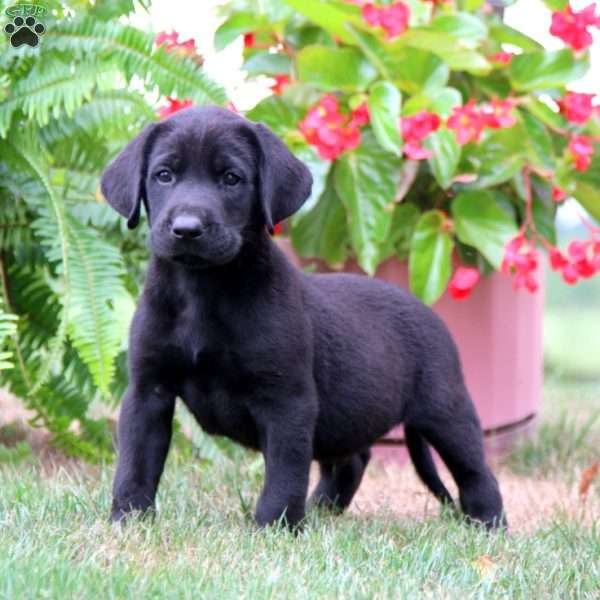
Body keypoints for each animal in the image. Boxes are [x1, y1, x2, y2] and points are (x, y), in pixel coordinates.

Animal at [101, 105, 504, 528]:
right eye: (164, 175)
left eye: (231, 178)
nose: (187, 229)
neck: (203, 291)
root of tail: (428, 312)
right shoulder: (148, 391)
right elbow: (136, 463)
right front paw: (128, 519)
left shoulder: (287, 400)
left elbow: (284, 472)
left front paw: (274, 526)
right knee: (352, 460)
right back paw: (323, 507)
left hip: (445, 410)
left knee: (476, 472)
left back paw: (488, 523)